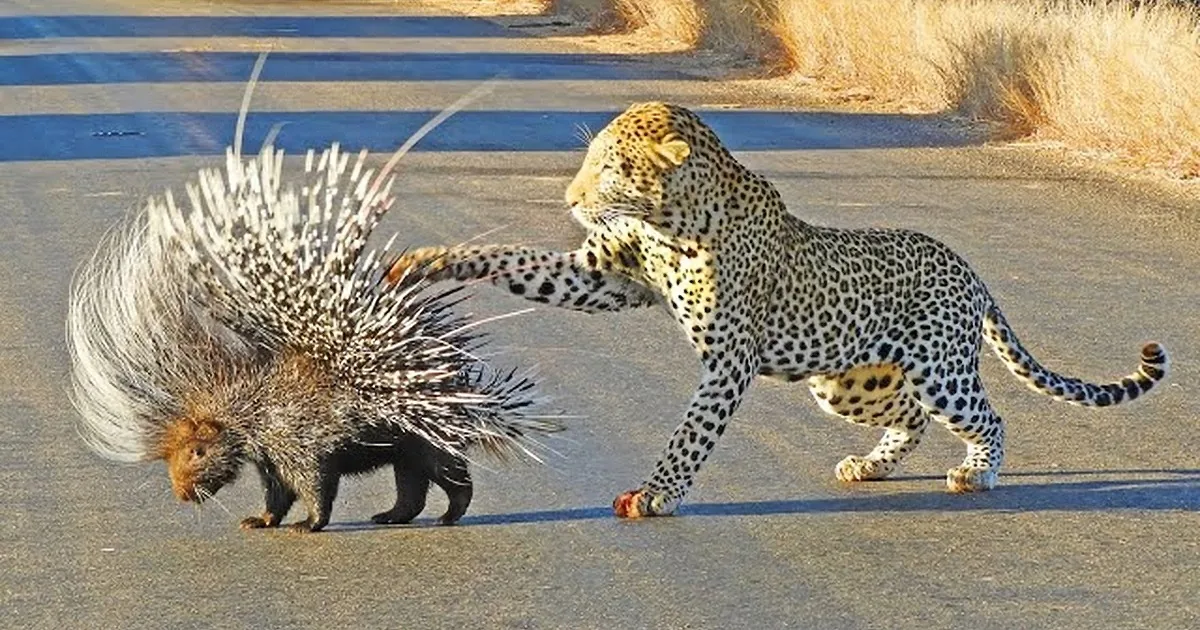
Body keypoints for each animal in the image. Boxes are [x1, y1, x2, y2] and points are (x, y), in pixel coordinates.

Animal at [387, 101, 1169, 518]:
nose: (571, 199)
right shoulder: (603, 277)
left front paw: (657, 495)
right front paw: (428, 261)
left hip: (938, 366)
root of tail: (969, 269)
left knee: (986, 415)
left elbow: (690, 433)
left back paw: (978, 473)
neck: (673, 221)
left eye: (609, 167)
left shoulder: (727, 360)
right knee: (910, 418)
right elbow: (516, 259)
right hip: (849, 381)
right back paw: (871, 466)